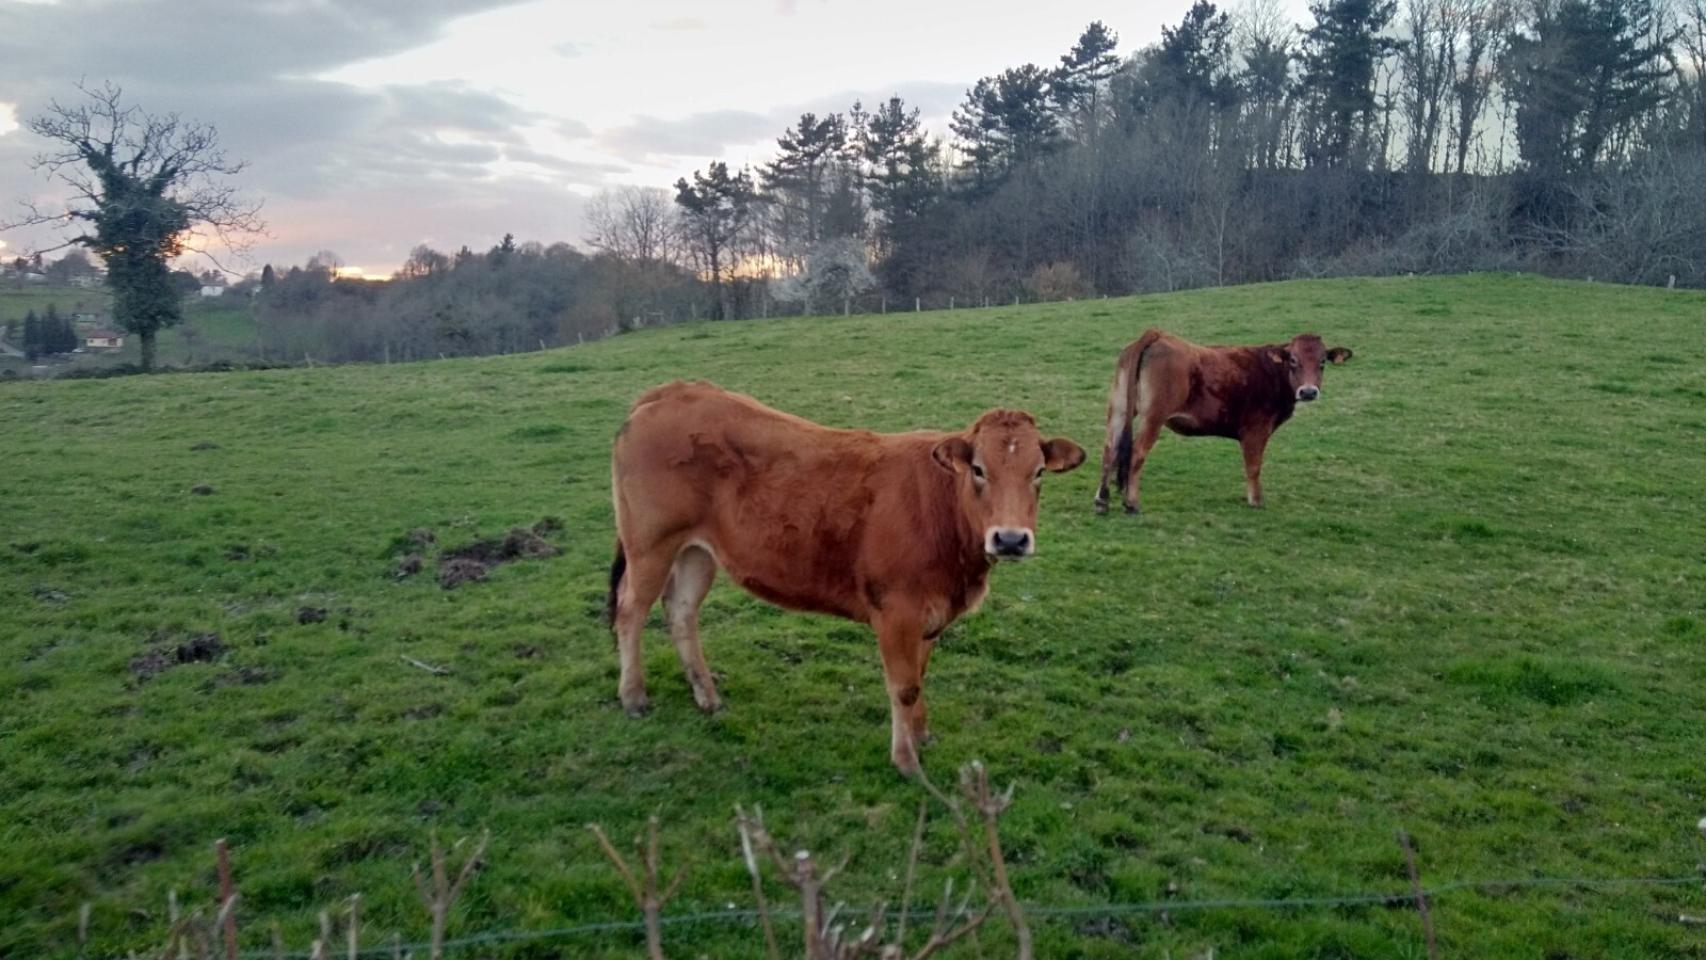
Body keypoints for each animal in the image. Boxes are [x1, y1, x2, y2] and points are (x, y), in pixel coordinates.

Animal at [608, 380, 1086, 774]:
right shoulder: (895, 612)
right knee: (630, 611)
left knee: (681, 611)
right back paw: (633, 697)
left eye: (1038, 472)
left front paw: (921, 735)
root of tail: (673, 391)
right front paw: (906, 761)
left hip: (695, 551)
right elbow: (904, 686)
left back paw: (707, 697)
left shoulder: (930, 616)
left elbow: (920, 676)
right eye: (979, 469)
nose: (1010, 539)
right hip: (650, 544)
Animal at [1092, 329, 1353, 514]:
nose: (1308, 392)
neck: (1273, 372)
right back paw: (1131, 503)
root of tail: (1157, 334)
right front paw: (1256, 500)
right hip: (1153, 415)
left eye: (1322, 362)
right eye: (1294, 360)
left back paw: (1102, 501)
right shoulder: (1256, 430)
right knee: (1136, 453)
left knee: (1109, 449)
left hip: (1119, 408)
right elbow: (1254, 466)